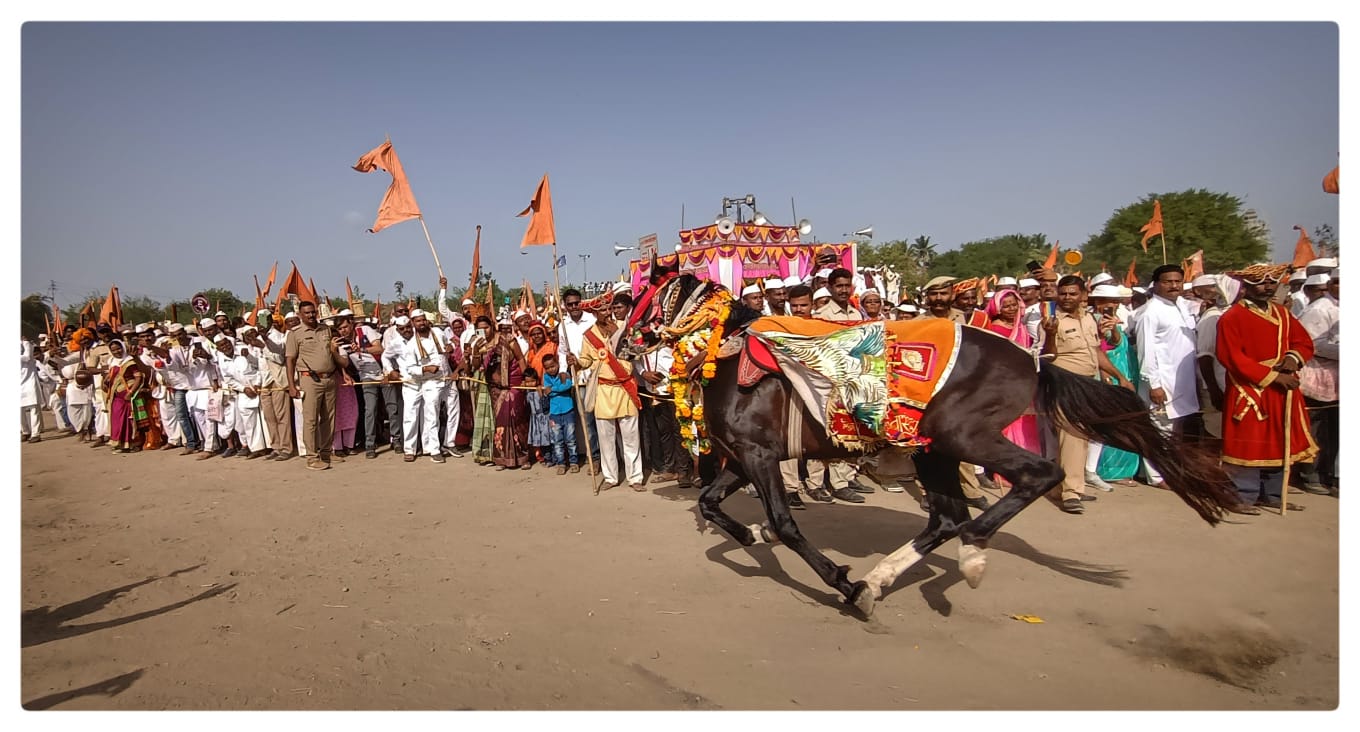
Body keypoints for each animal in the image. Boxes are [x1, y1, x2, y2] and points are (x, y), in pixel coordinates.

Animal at [625, 262, 1245, 614]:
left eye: (645, 298)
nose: (629, 342)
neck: (724, 354)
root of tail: (1032, 361)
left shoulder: (756, 455)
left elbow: (783, 523)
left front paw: (837, 580)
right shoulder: (743, 457)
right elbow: (712, 505)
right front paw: (750, 534)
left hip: (958, 435)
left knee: (1033, 477)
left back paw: (968, 554)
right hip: (935, 450)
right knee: (946, 518)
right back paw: (884, 576)